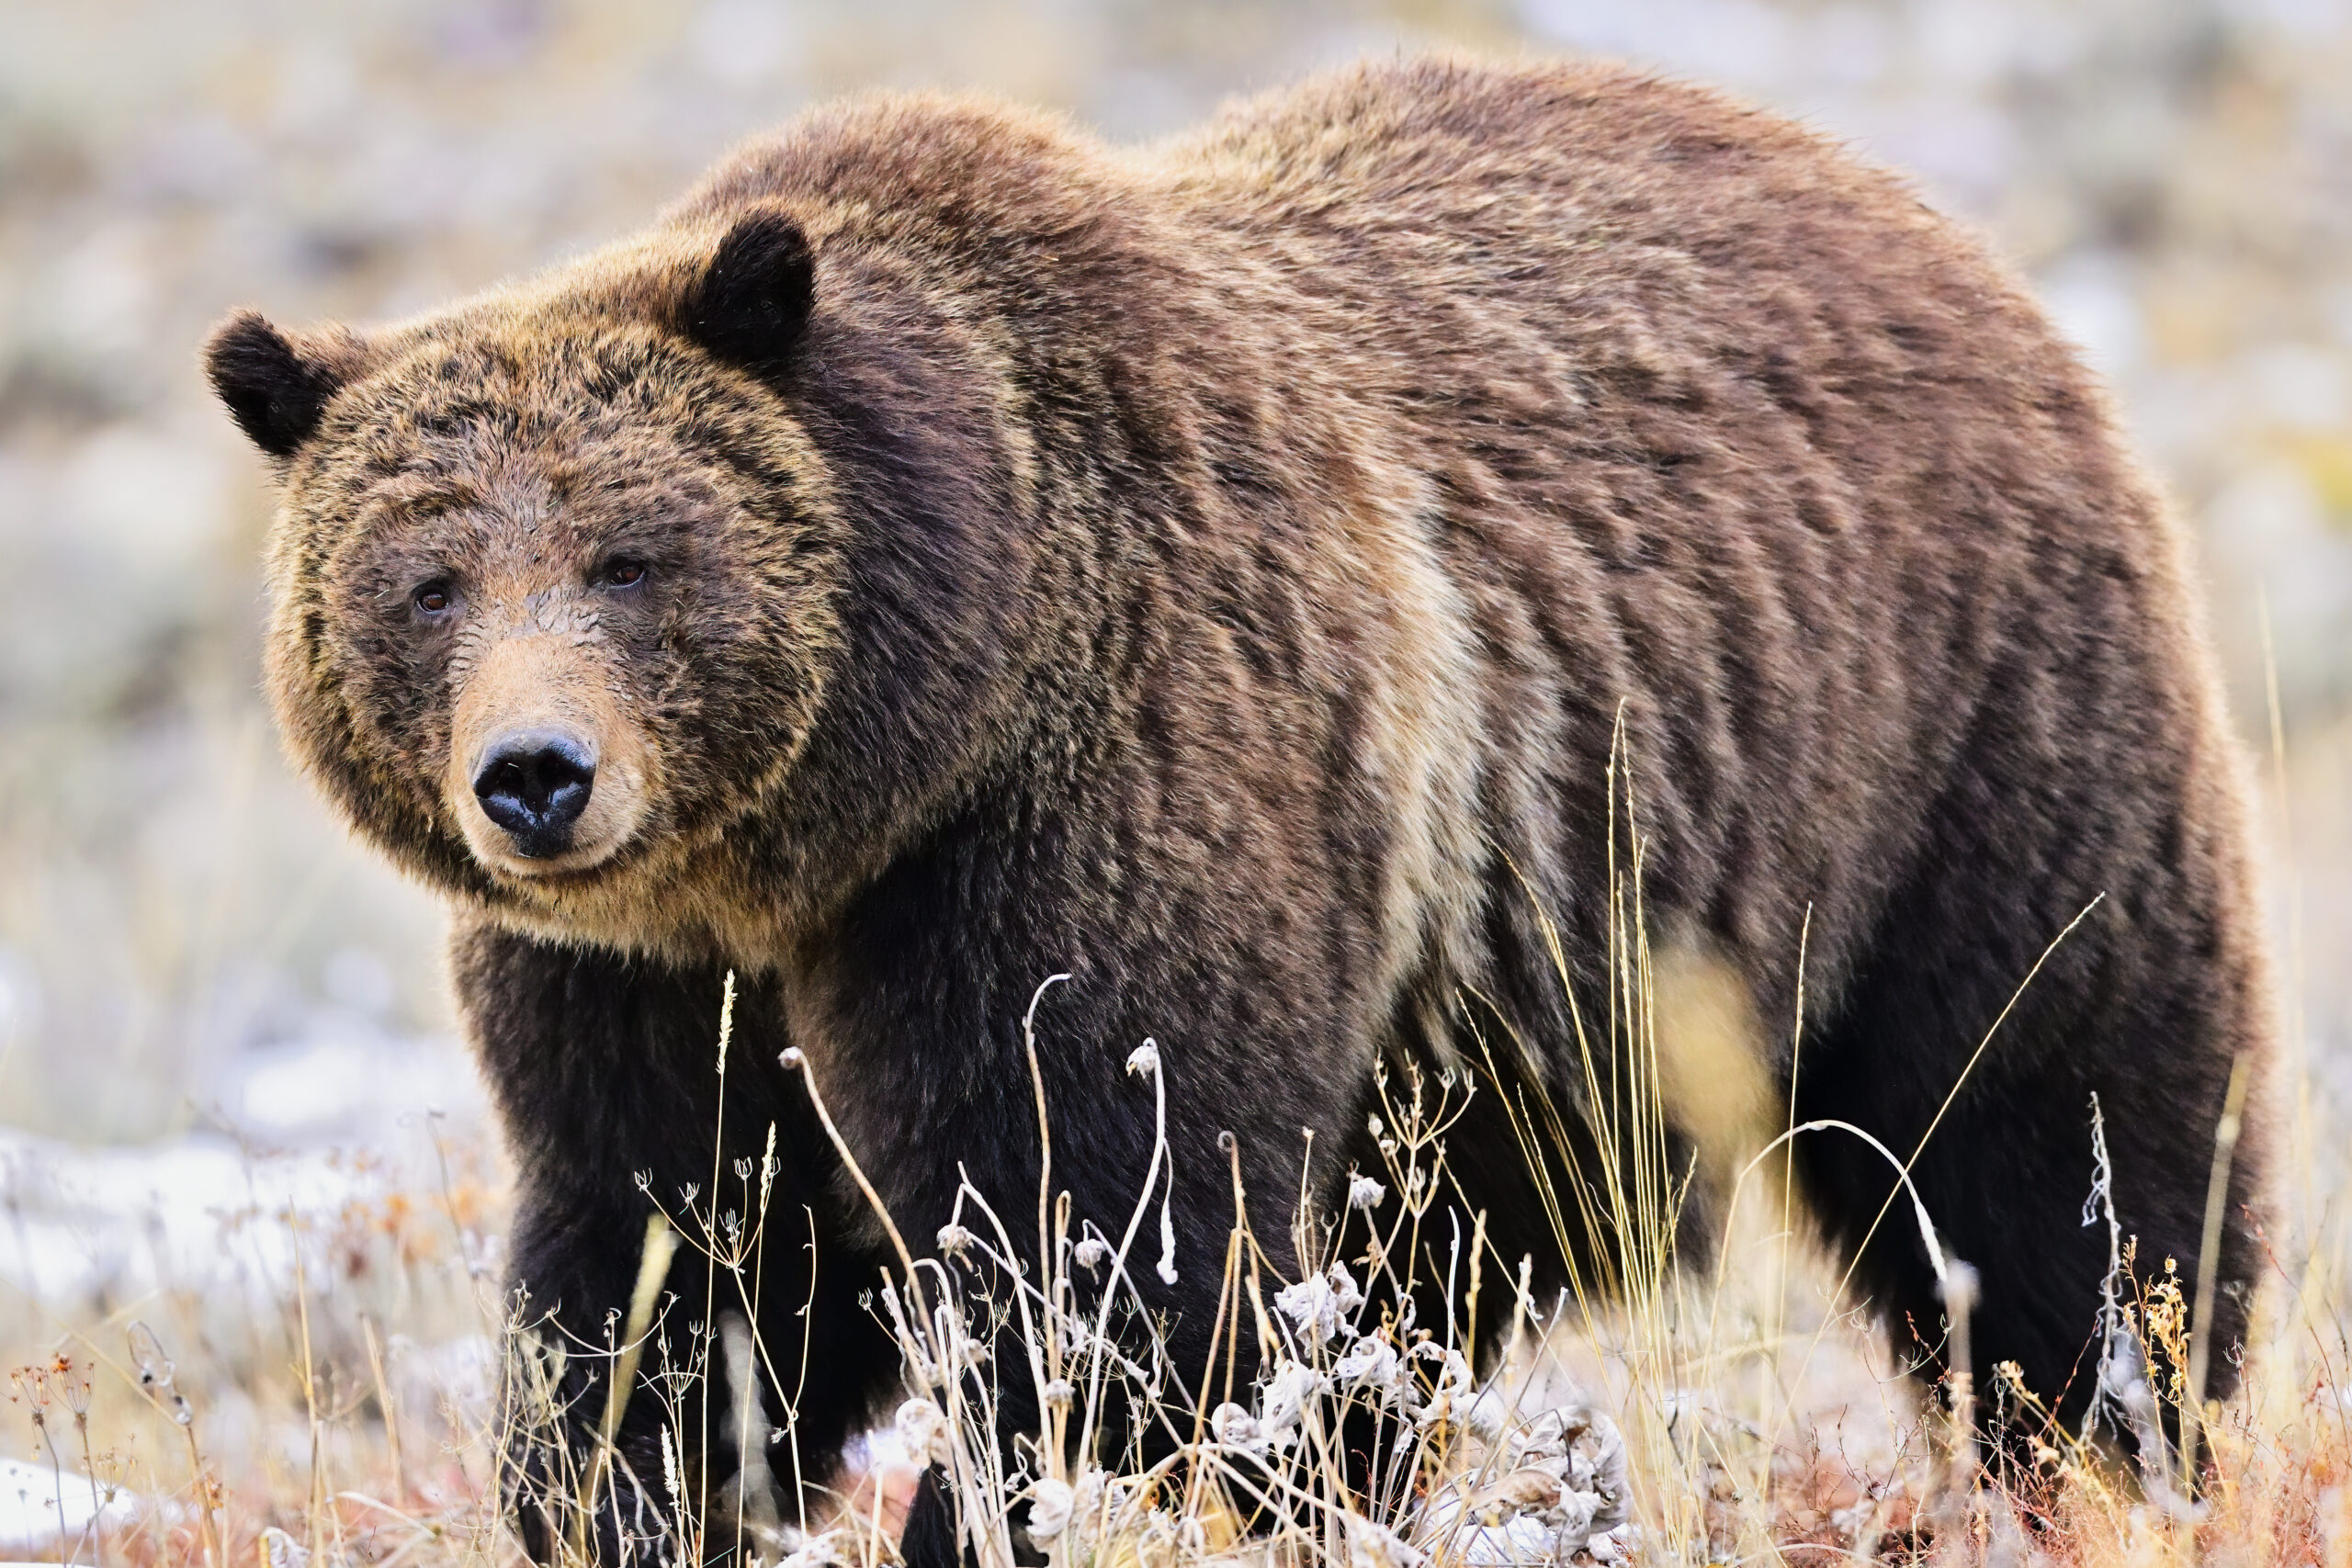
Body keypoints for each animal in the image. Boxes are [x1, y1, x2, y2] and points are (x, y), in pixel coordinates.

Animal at [207, 55, 2277, 1561]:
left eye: (634, 555)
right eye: (424, 584)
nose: (536, 776)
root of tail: (1911, 210)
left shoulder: (1091, 813)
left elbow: (1102, 1253)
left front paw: (1001, 1508)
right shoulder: (649, 988)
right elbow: (683, 1265)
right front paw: (622, 1491)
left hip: (1954, 742)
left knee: (2048, 1142)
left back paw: (2113, 1436)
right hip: (1510, 1016)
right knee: (1422, 1297)